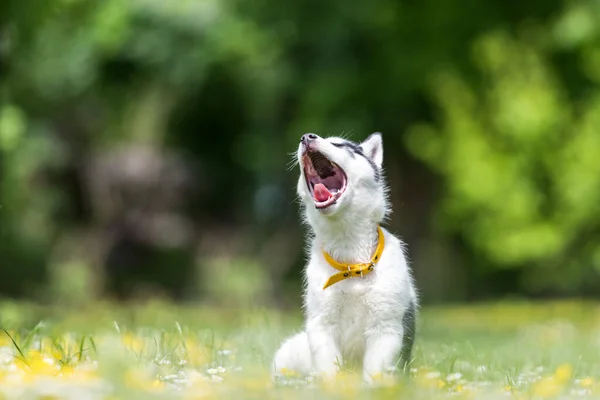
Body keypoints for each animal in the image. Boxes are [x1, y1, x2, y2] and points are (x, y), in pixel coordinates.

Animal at [272, 132, 418, 384]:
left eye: (338, 144)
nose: (306, 136)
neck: (351, 261)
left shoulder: (386, 328)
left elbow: (375, 372)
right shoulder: (321, 325)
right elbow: (329, 370)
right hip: (288, 353)